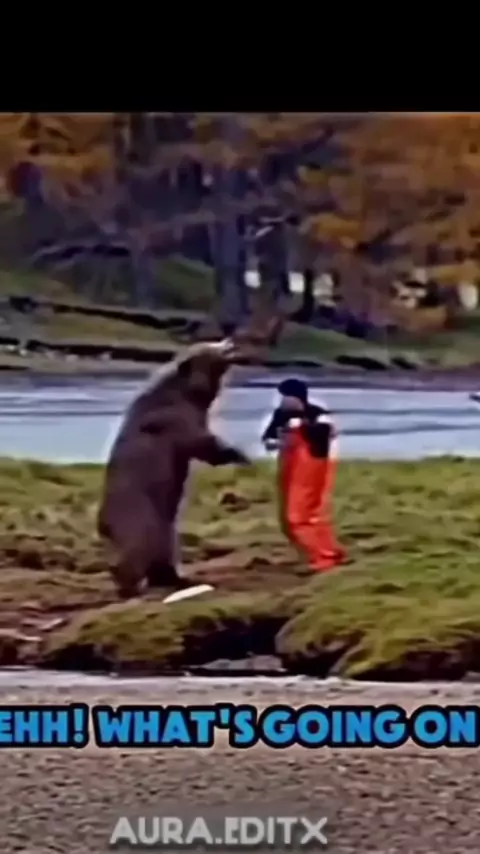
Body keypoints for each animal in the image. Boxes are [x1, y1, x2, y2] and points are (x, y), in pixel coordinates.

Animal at [97, 340, 249, 599]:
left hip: (164, 523)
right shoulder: (173, 418)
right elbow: (199, 442)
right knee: (137, 548)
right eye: (211, 346)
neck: (189, 393)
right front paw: (239, 454)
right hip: (139, 511)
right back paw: (130, 586)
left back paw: (175, 578)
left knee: (165, 549)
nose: (230, 342)